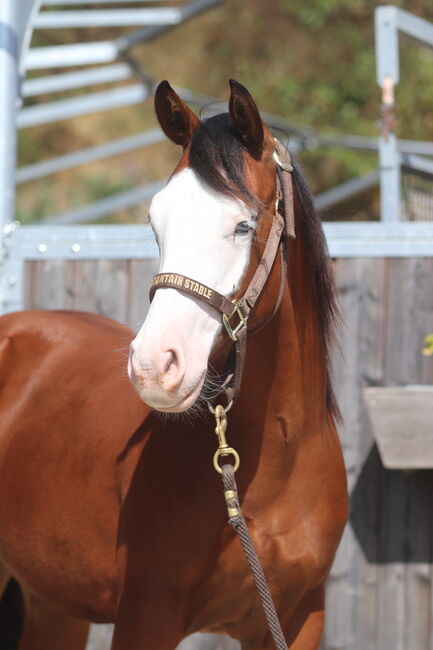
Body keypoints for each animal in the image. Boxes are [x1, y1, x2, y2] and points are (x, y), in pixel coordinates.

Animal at [0, 78, 346, 644]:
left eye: (244, 225)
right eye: (154, 222)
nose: (152, 366)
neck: (282, 458)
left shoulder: (298, 620)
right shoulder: (147, 616)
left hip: (54, 605)